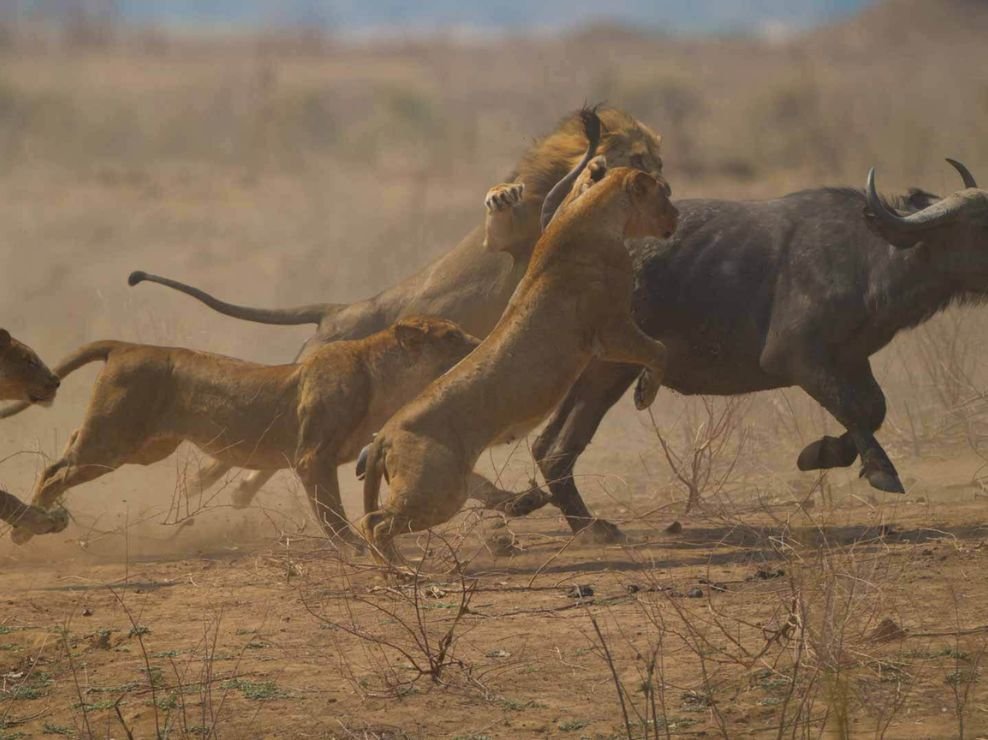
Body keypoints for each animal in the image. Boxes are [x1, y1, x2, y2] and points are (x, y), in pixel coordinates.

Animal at [7, 317, 485, 545]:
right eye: (453, 335)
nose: (481, 344)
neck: (384, 378)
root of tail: (126, 346)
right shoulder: (313, 458)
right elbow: (331, 514)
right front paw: (353, 548)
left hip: (145, 447)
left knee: (65, 453)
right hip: (113, 441)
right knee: (52, 472)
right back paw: (26, 529)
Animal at [123, 106, 664, 541]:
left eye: (657, 161)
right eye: (642, 157)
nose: (665, 181)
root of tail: (340, 309)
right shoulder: (504, 244)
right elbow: (505, 218)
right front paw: (505, 193)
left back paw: (235, 490)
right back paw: (208, 484)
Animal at [359, 128, 679, 567]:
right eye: (664, 194)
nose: (677, 217)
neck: (592, 215)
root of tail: (384, 435)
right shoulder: (611, 329)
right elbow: (659, 349)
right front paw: (645, 394)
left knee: (374, 520)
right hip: (439, 490)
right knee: (375, 523)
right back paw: (402, 571)